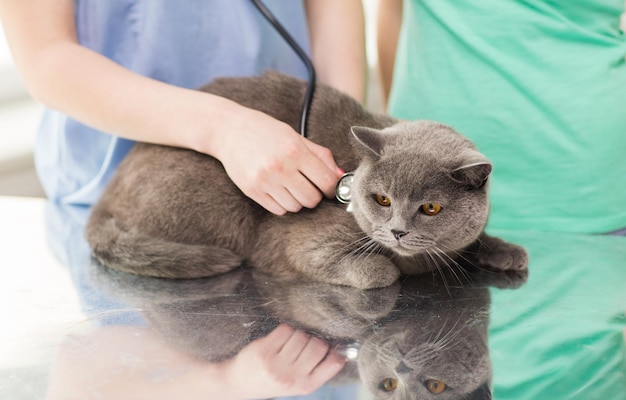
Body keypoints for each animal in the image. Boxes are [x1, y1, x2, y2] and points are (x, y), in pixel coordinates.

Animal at [85, 72, 528, 290]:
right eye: (382, 200)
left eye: (431, 208)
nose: (398, 231)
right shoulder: (298, 241)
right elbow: (377, 272)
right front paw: (392, 268)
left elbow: (472, 242)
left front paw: (506, 251)